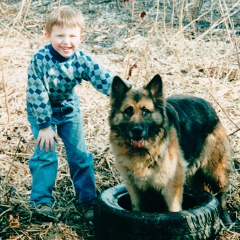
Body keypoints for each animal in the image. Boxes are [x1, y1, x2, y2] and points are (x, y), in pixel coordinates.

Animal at [109, 74, 232, 223]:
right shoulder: (134, 187)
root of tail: (208, 105)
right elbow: (137, 209)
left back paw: (225, 218)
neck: (143, 151)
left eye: (145, 111)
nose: (137, 130)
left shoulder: (172, 184)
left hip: (215, 170)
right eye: (128, 111)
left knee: (221, 193)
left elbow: (174, 211)